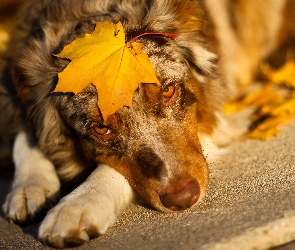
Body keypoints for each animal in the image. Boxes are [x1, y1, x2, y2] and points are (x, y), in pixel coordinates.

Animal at [0, 0, 295, 248]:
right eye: (101, 129)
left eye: (168, 91)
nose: (183, 199)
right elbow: (25, 136)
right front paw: (29, 186)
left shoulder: (213, 121)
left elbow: (108, 170)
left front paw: (77, 205)